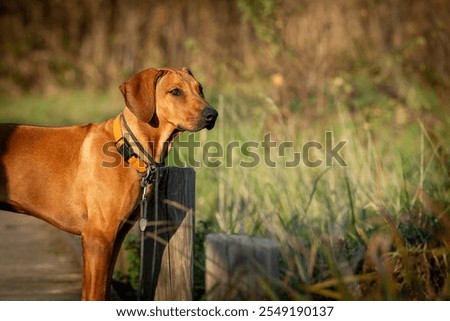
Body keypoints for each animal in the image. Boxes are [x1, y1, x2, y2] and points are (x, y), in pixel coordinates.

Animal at [0, 66, 218, 298]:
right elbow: (94, 295)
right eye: (176, 91)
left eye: (200, 89)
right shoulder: (98, 237)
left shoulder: (116, 237)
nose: (212, 114)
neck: (129, 148)